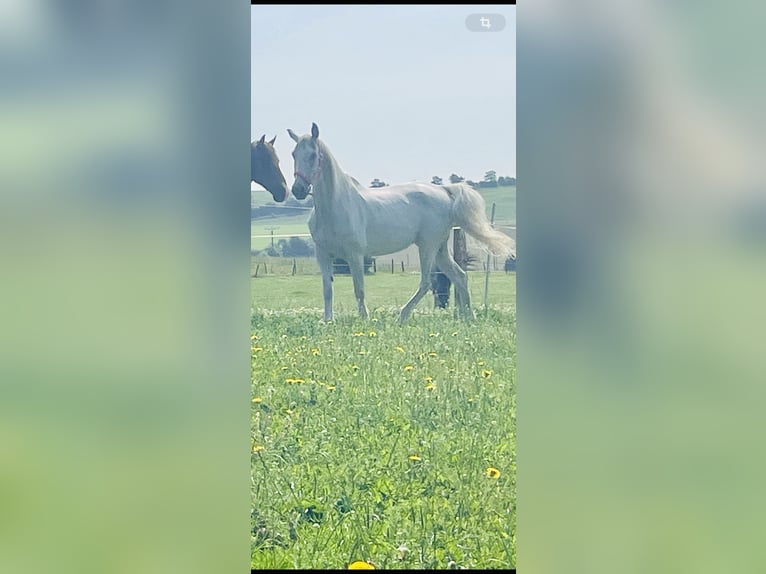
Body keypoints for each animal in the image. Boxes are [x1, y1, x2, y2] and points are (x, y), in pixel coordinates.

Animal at [287, 122, 516, 325]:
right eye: (294, 154)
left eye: (313, 155)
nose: (298, 190)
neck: (335, 206)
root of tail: (444, 191)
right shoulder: (323, 254)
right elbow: (327, 289)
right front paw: (327, 321)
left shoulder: (355, 255)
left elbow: (359, 289)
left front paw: (364, 319)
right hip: (439, 249)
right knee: (459, 276)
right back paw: (469, 318)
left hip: (427, 247)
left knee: (426, 282)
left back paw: (402, 316)